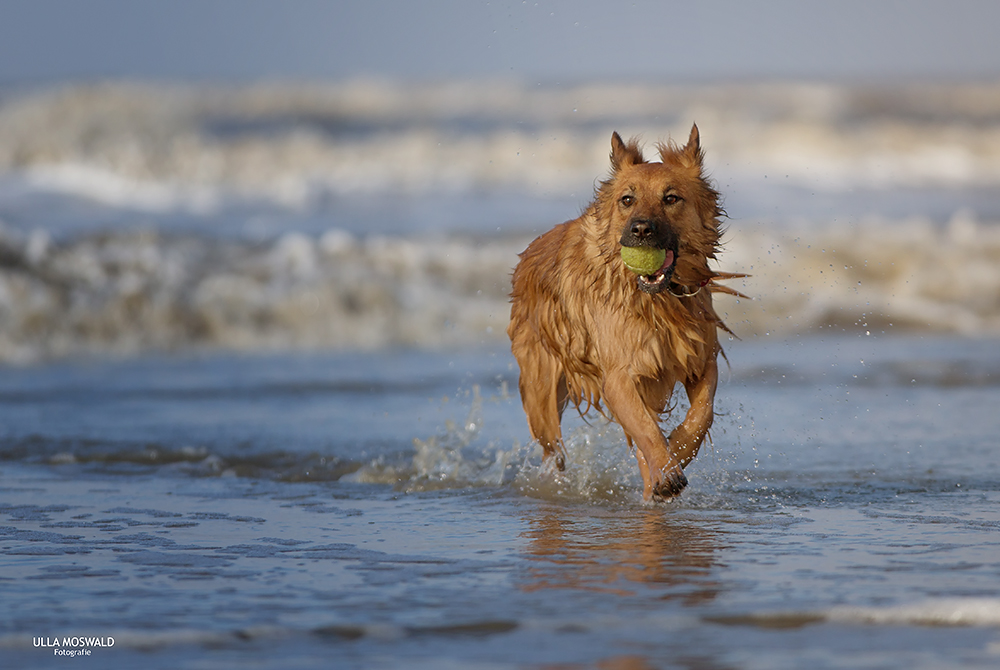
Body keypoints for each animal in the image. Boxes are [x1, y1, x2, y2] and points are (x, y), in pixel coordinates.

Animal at [508, 127, 744, 504]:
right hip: (541, 390)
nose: (641, 229)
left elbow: (700, 416)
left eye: (671, 198)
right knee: (553, 449)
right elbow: (647, 430)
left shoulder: (700, 359)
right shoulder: (620, 376)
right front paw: (667, 469)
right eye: (627, 200)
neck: (657, 301)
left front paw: (676, 453)